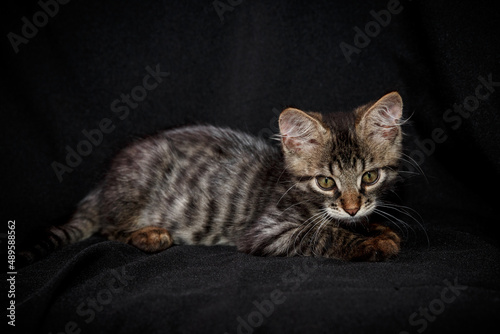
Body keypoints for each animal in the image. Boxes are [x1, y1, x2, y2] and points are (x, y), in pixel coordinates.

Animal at [24, 92, 406, 264]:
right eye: (326, 182)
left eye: (370, 176)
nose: (353, 207)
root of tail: (103, 186)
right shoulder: (266, 232)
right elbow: (324, 235)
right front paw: (372, 243)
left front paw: (376, 228)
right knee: (107, 229)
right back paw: (150, 235)